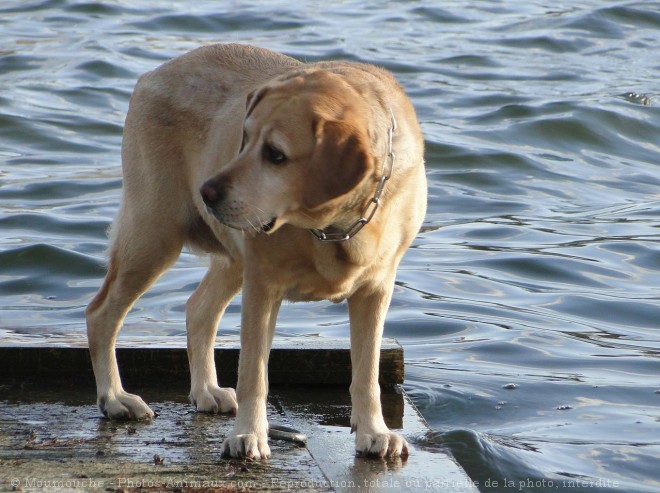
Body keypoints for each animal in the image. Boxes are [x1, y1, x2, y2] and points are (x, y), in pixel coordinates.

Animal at [86, 44, 428, 460]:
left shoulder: (376, 289)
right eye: (244, 138)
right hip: (154, 235)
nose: (207, 192)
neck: (334, 226)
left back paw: (206, 390)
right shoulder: (262, 286)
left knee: (198, 309)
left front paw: (374, 432)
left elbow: (367, 373)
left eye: (276, 154)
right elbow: (254, 374)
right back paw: (114, 397)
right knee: (101, 313)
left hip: (230, 258)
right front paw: (249, 435)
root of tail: (154, 73)